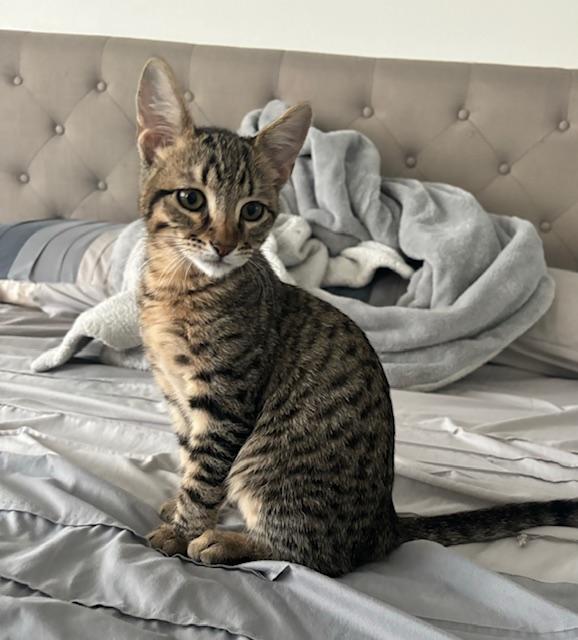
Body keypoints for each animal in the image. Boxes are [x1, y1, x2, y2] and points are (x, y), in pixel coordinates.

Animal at [136, 57, 576, 576]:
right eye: (191, 199)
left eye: (253, 211)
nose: (224, 245)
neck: (177, 289)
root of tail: (384, 524)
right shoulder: (178, 400)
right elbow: (192, 460)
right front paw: (181, 507)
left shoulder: (225, 401)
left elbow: (205, 472)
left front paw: (183, 530)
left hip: (269, 462)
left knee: (314, 554)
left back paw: (227, 542)